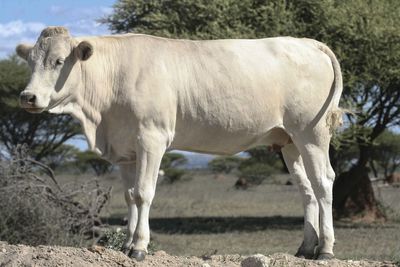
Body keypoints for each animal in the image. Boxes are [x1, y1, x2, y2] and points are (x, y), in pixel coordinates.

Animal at [16, 26, 344, 260]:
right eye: (30, 62)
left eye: (59, 61)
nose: (27, 96)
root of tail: (308, 42)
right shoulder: (126, 150)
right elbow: (130, 196)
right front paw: (127, 244)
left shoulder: (152, 138)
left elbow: (144, 193)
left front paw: (139, 247)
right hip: (289, 141)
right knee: (306, 188)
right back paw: (306, 247)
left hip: (311, 133)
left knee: (323, 182)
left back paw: (326, 249)